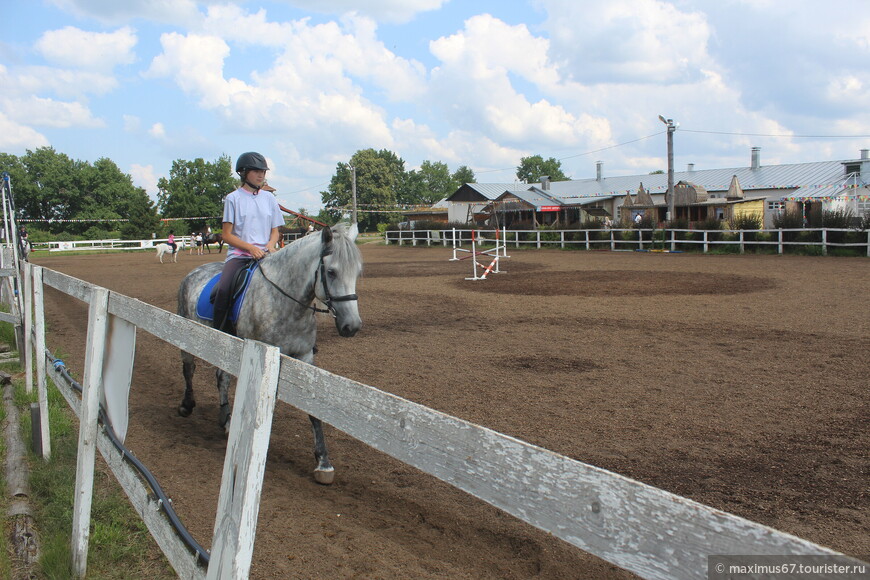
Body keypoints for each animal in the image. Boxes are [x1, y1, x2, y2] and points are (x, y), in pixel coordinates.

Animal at [175, 224, 362, 482]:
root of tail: (194, 272)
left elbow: (312, 409)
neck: (285, 302)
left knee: (221, 378)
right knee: (189, 368)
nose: (351, 326)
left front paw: (323, 462)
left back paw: (226, 420)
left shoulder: (305, 357)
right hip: (188, 330)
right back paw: (187, 405)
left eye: (357, 273)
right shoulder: (265, 358)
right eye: (332, 272)